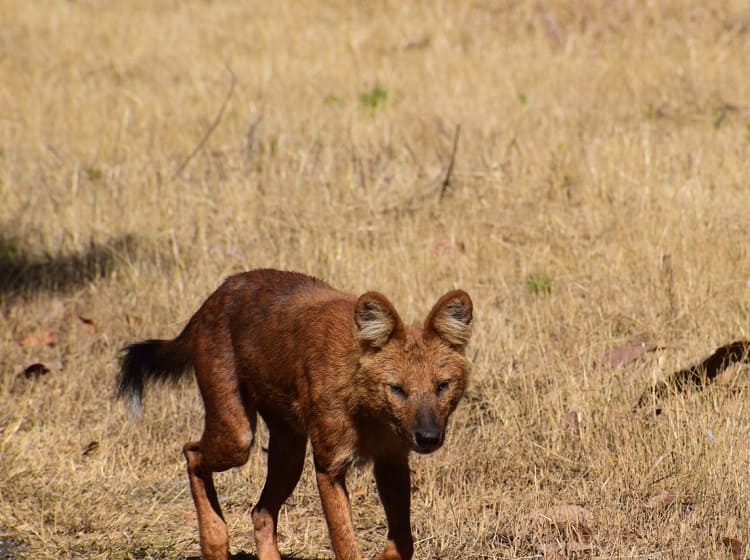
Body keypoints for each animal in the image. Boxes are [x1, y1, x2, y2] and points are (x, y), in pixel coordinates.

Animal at [115, 270, 472, 560]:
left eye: (442, 386)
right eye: (397, 389)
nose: (428, 437)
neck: (369, 413)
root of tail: (213, 297)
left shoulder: (392, 460)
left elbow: (403, 543)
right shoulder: (329, 467)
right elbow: (346, 543)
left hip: (290, 452)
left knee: (260, 513)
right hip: (237, 435)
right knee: (191, 451)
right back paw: (215, 542)